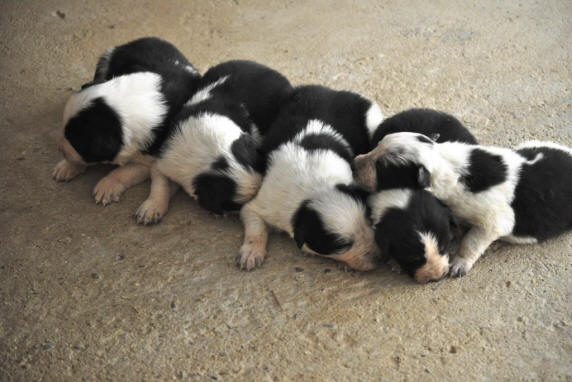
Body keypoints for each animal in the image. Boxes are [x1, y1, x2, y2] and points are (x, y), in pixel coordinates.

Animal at [53, 37, 201, 216]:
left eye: (77, 142)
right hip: (105, 60)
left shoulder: (152, 158)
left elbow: (125, 171)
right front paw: (67, 166)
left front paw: (107, 186)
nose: (60, 149)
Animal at [237, 86, 384, 272]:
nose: (380, 258)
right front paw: (251, 252)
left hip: (372, 117)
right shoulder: (260, 206)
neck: (316, 190)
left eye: (371, 222)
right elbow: (255, 227)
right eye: (342, 245)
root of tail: (332, 90)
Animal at [358, 134, 572, 278]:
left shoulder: (494, 221)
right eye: (376, 146)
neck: (442, 160)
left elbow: (471, 242)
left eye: (382, 167)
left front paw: (459, 263)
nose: (355, 161)